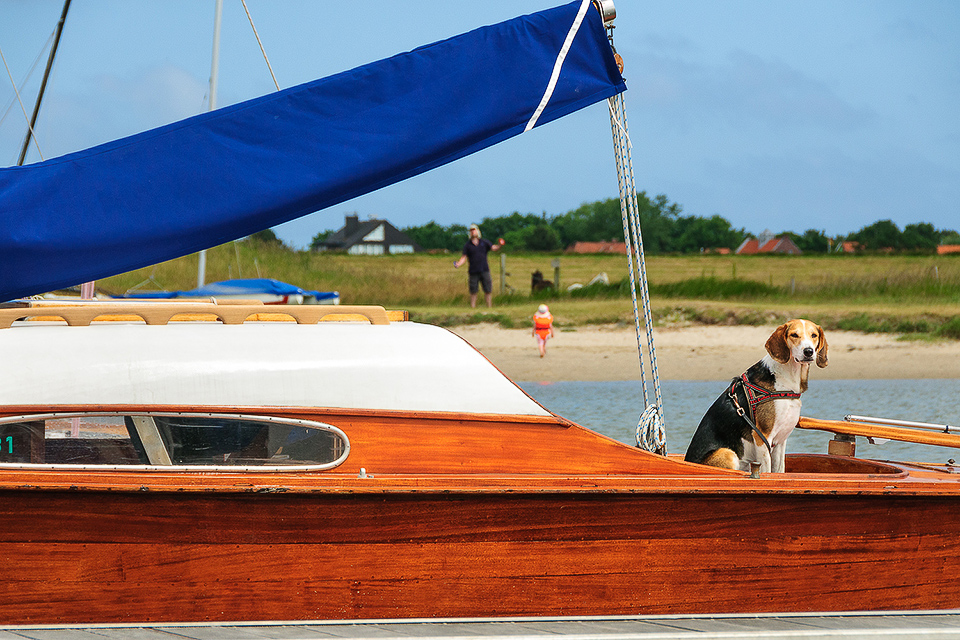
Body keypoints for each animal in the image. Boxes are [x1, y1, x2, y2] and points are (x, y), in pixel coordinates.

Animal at [684, 322, 824, 472]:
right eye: (794, 335)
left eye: (814, 335)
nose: (808, 351)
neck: (786, 379)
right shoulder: (762, 437)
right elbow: (767, 471)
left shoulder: (780, 440)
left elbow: (779, 470)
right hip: (728, 453)